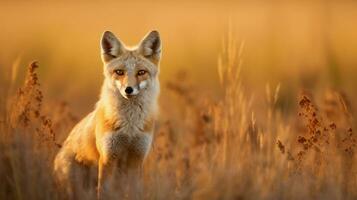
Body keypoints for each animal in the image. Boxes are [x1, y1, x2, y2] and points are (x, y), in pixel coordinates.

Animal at [53, 29, 161, 197]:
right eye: (119, 72)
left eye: (141, 72)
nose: (128, 89)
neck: (129, 127)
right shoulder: (107, 158)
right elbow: (104, 192)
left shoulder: (136, 159)